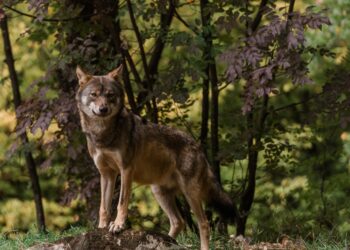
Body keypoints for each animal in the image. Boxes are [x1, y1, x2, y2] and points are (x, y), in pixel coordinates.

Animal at [75, 65, 237, 250]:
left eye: (110, 95)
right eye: (94, 94)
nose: (103, 109)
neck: (102, 135)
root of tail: (198, 147)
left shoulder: (126, 170)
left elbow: (121, 202)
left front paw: (118, 225)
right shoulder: (106, 174)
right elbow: (104, 206)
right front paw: (101, 228)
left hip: (190, 193)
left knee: (203, 224)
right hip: (159, 192)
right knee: (178, 222)